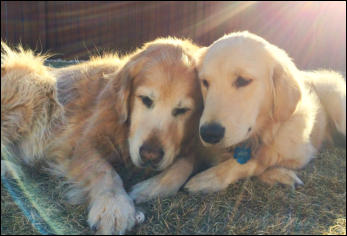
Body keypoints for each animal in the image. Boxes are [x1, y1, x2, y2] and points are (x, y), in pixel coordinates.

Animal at [185, 31, 346, 193]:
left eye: (243, 80)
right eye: (205, 82)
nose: (209, 134)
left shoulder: (302, 153)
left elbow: (256, 162)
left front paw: (207, 178)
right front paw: (280, 175)